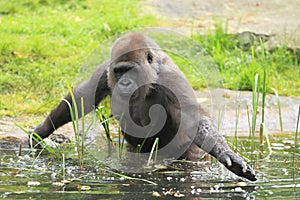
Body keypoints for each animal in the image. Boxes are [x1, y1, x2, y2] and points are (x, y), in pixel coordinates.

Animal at [32, 32, 255, 181]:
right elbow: (83, 98)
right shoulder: (106, 68)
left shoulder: (170, 79)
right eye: (120, 71)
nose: (124, 83)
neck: (152, 69)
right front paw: (42, 130)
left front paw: (226, 153)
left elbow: (195, 119)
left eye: (130, 70)